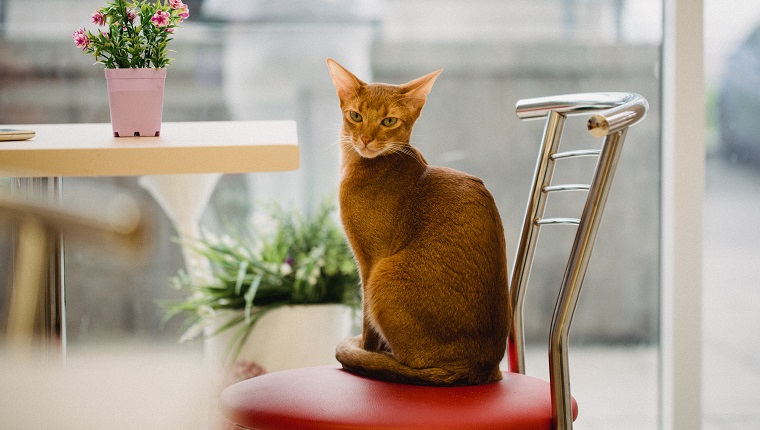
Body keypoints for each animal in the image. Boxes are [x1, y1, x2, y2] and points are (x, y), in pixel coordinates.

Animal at [326, 58, 510, 386]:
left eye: (389, 121)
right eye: (356, 116)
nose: (365, 139)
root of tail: (480, 366)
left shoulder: (368, 261)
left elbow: (366, 317)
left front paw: (366, 349)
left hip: (384, 276)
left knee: (409, 361)